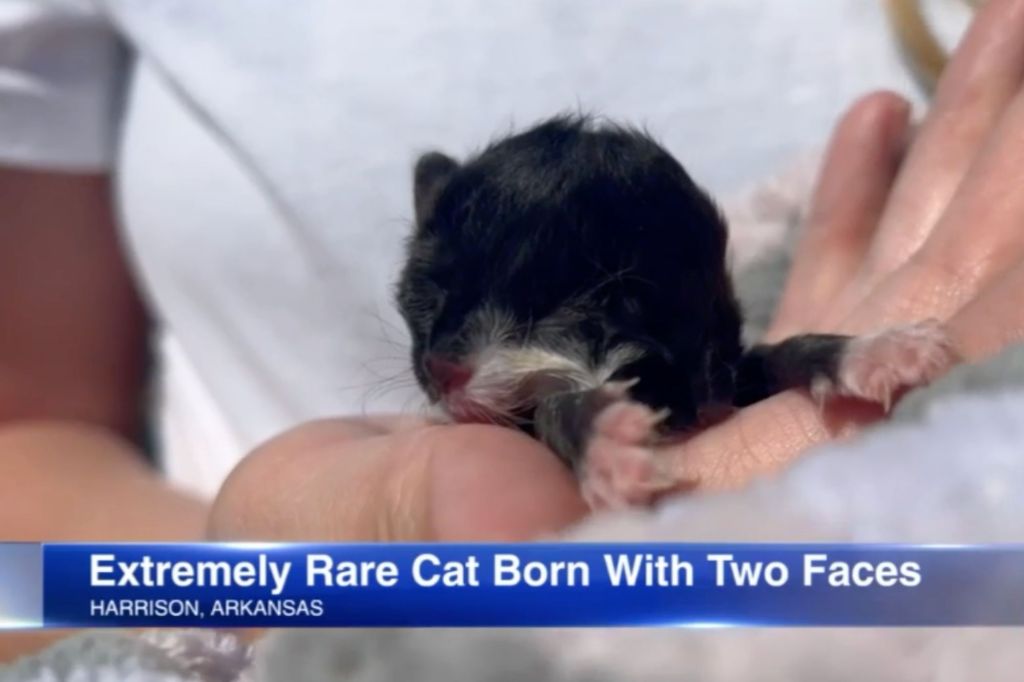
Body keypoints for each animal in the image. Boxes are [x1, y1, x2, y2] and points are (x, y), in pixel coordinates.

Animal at [393, 116, 950, 507]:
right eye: (424, 297)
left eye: (555, 308)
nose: (440, 370)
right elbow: (551, 406)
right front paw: (604, 443)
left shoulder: (724, 373)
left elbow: (776, 354)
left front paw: (874, 351)